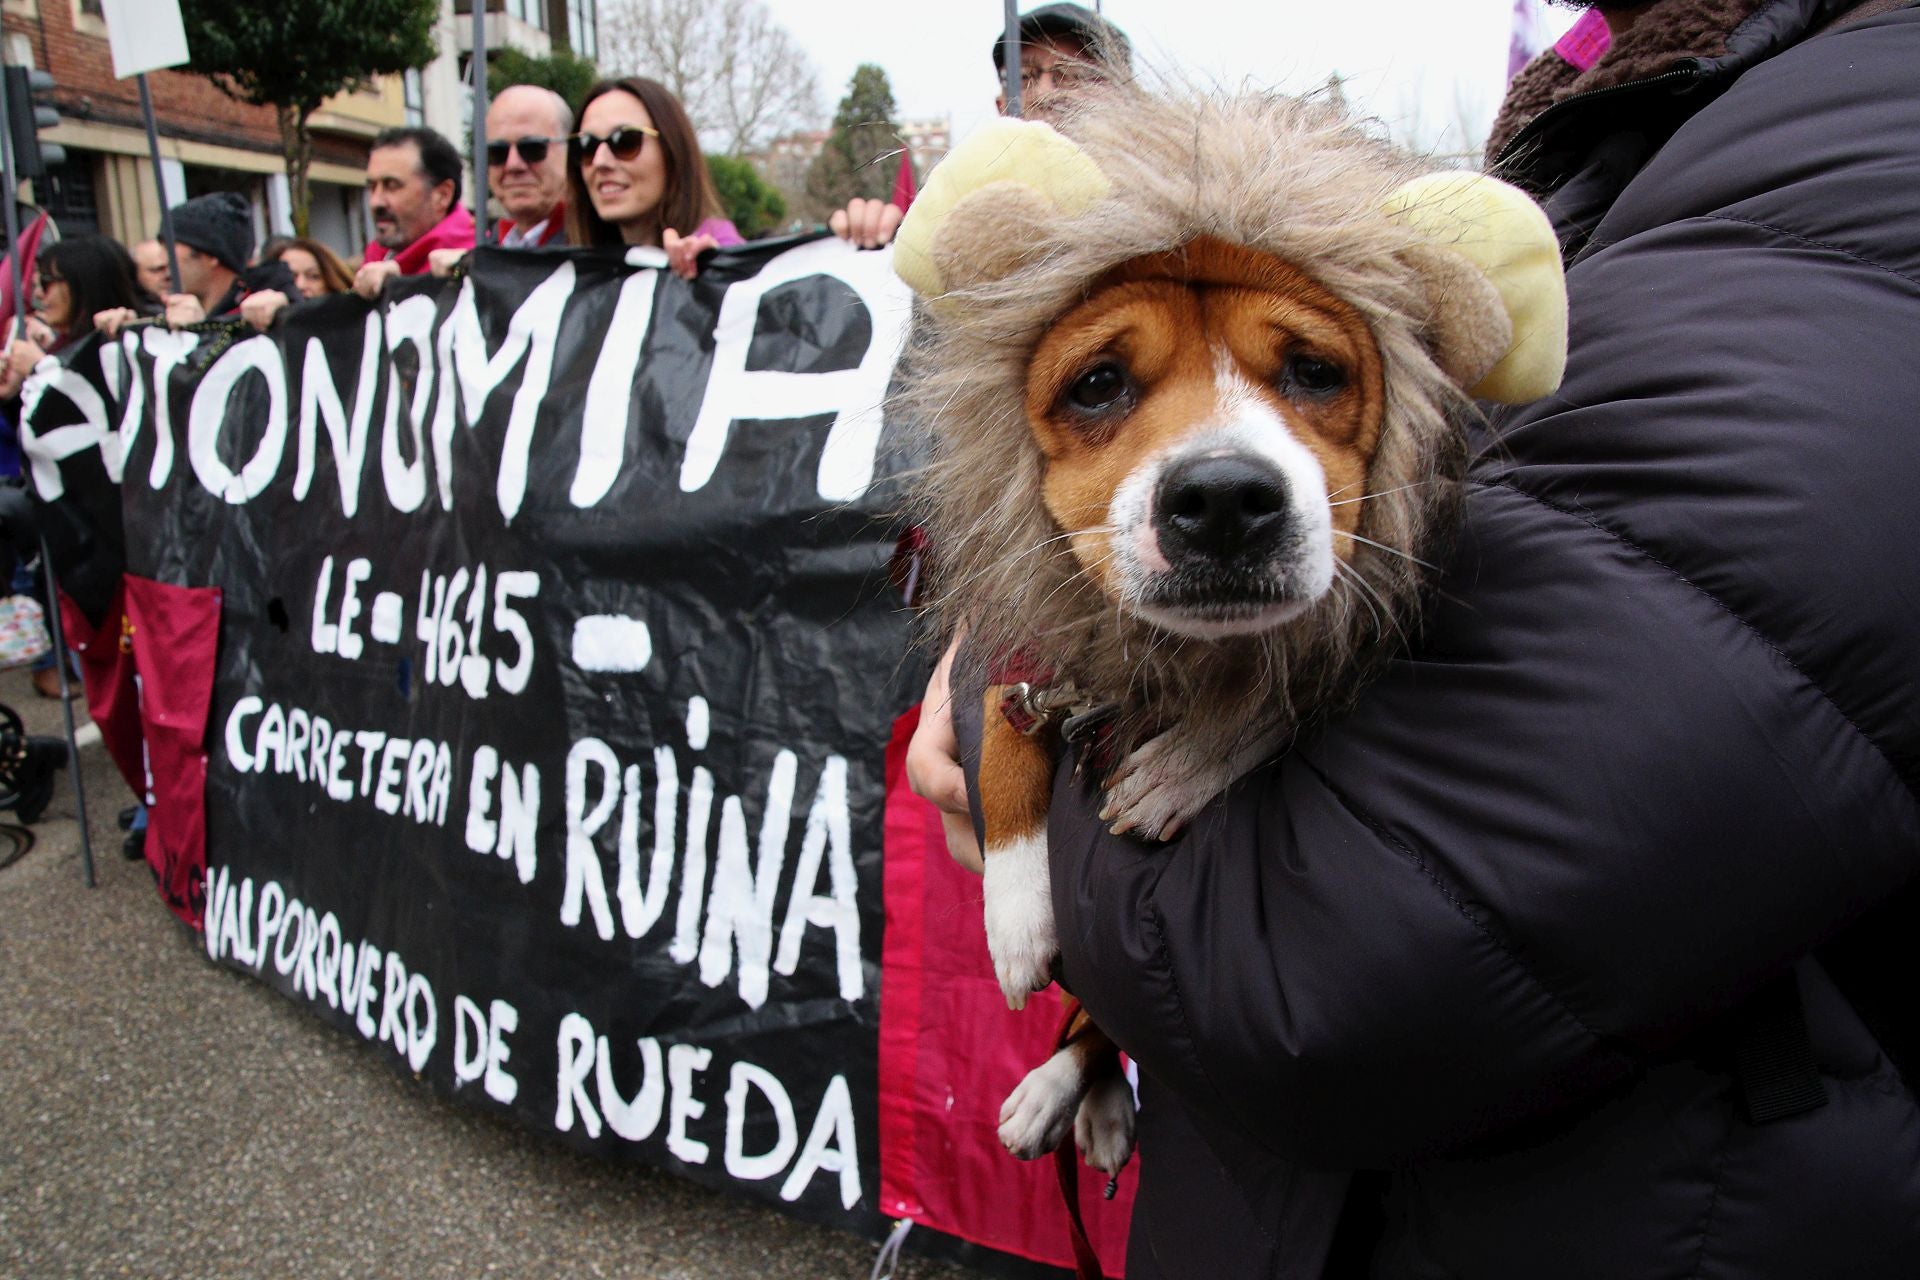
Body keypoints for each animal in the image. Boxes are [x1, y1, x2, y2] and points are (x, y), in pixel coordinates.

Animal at [890, 87, 1566, 1189]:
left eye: (1317, 372)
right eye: (1096, 384)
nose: (1220, 499)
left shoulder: (1347, 639)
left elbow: (1272, 706)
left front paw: (1191, 760)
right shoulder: (1016, 636)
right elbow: (1003, 744)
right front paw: (1018, 908)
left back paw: (1085, 1095)